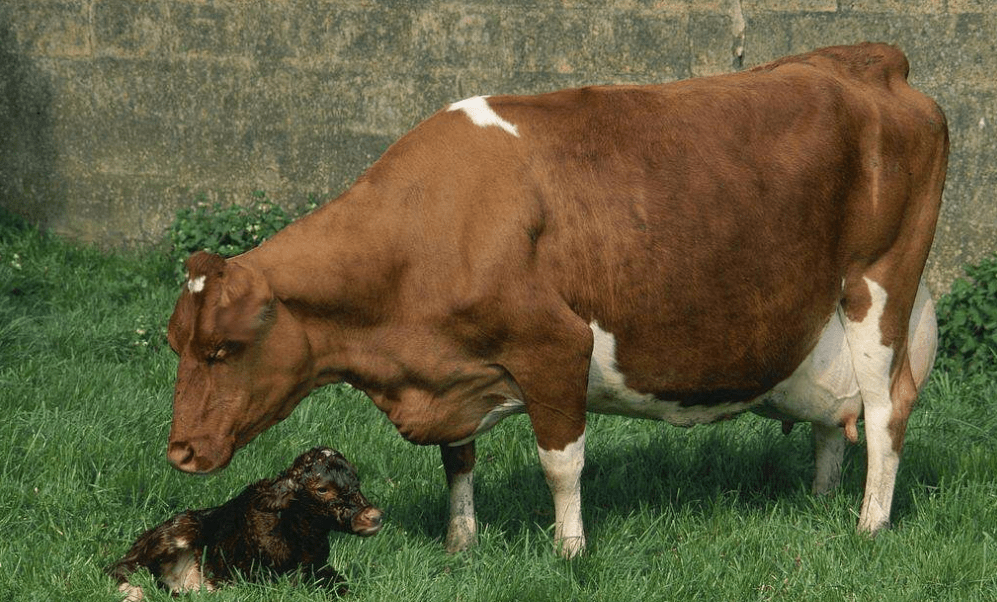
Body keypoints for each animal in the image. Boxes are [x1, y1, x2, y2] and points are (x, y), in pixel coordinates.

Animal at [108, 446, 382, 596]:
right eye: (322, 489)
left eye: (356, 479)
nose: (373, 516)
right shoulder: (263, 576)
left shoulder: (319, 566)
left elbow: (343, 585)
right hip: (175, 532)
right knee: (119, 568)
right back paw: (134, 593)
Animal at [167, 44, 944, 556]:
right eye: (177, 342)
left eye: (224, 349)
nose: (180, 451)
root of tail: (866, 60)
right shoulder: (451, 366)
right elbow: (457, 460)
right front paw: (461, 542)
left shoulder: (554, 346)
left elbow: (560, 464)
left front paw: (569, 551)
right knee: (836, 420)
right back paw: (820, 500)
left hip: (878, 288)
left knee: (885, 412)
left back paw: (868, 524)